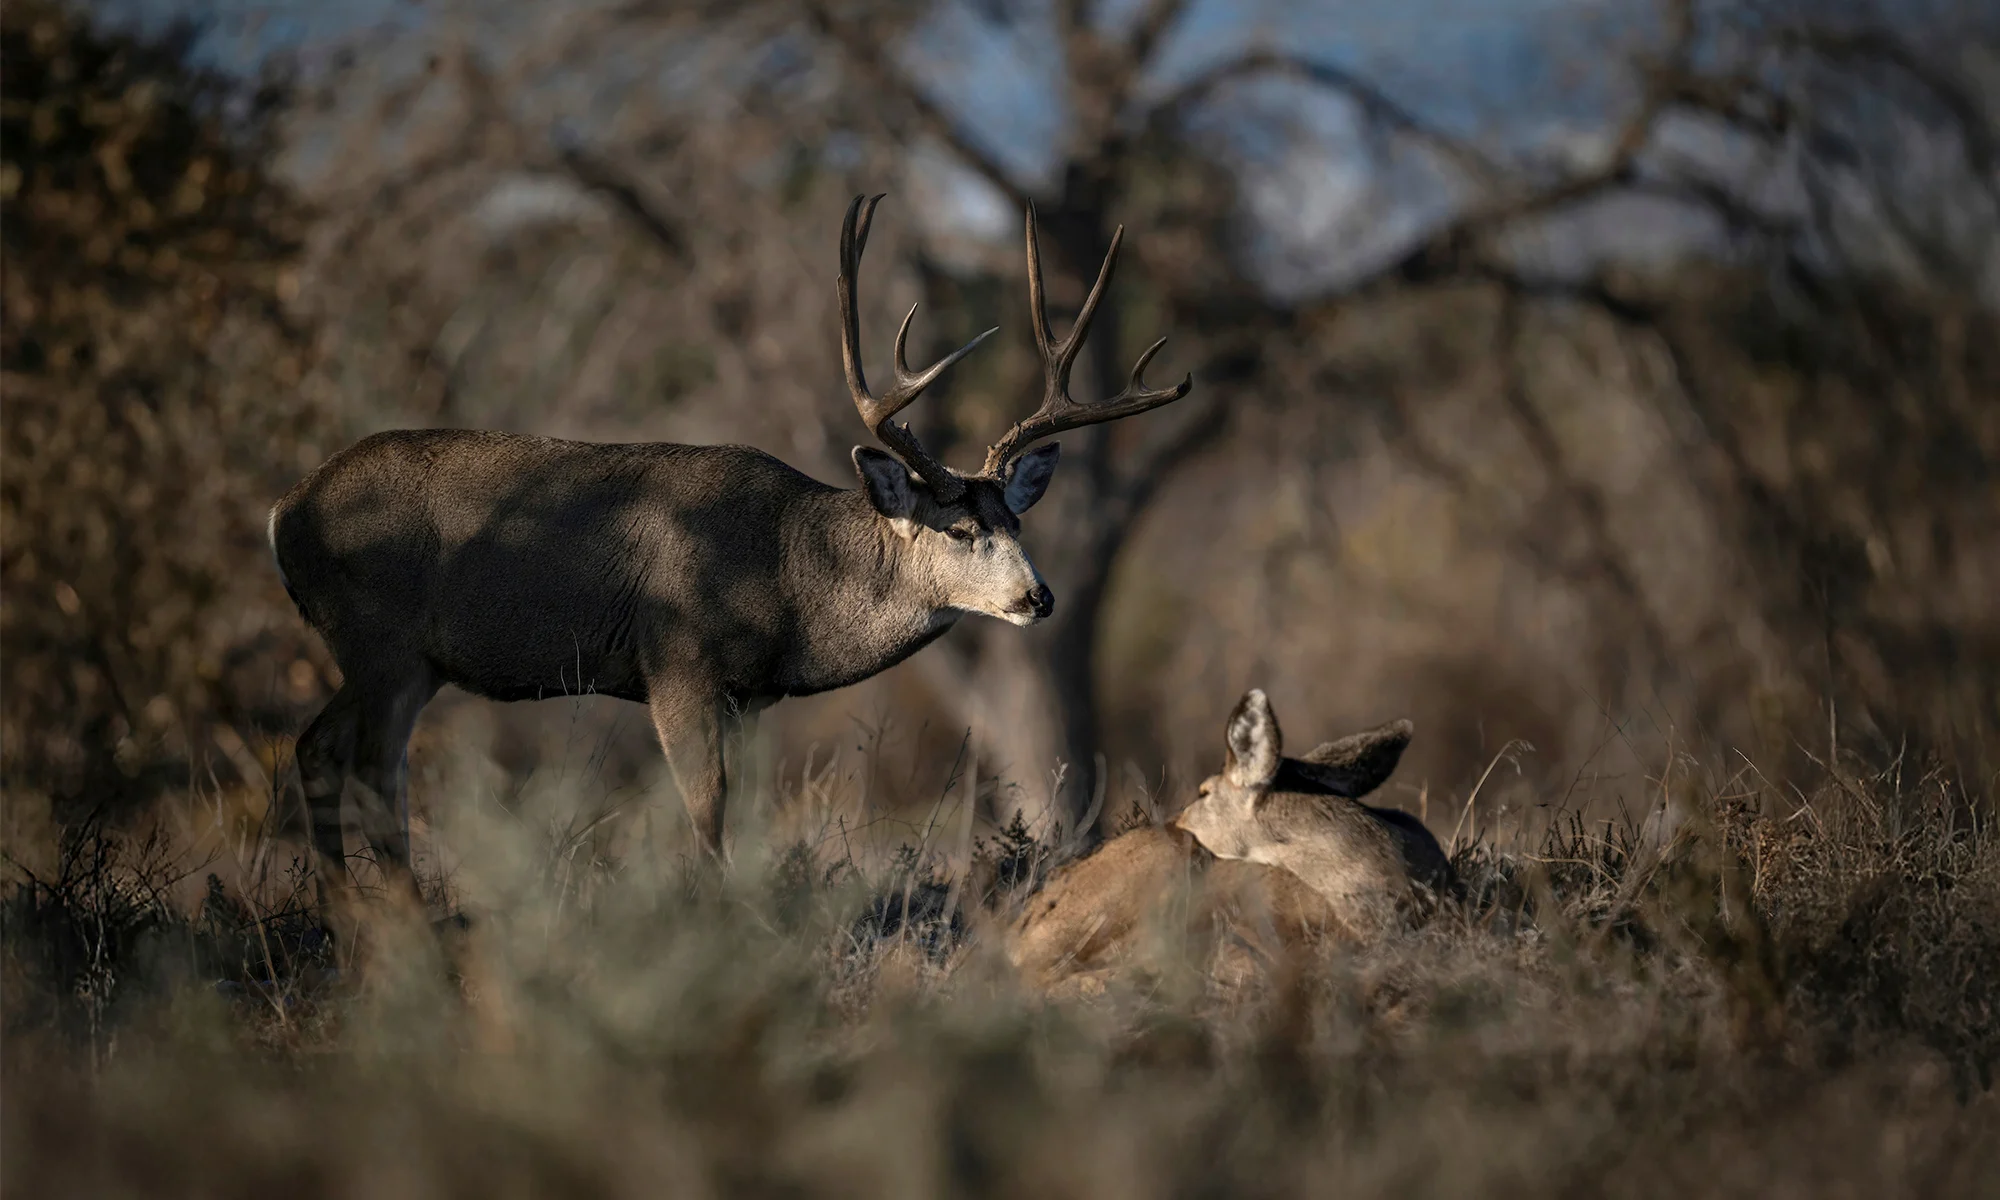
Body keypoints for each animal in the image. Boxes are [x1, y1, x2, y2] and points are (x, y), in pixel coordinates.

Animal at [267, 193, 1193, 907]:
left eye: (1019, 525)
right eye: (962, 530)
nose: (1039, 598)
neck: (788, 571)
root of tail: (285, 510)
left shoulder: (752, 696)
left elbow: (742, 810)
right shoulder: (674, 658)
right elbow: (706, 808)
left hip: (399, 659)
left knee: (317, 751)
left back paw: (345, 916)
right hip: (384, 645)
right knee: (373, 775)